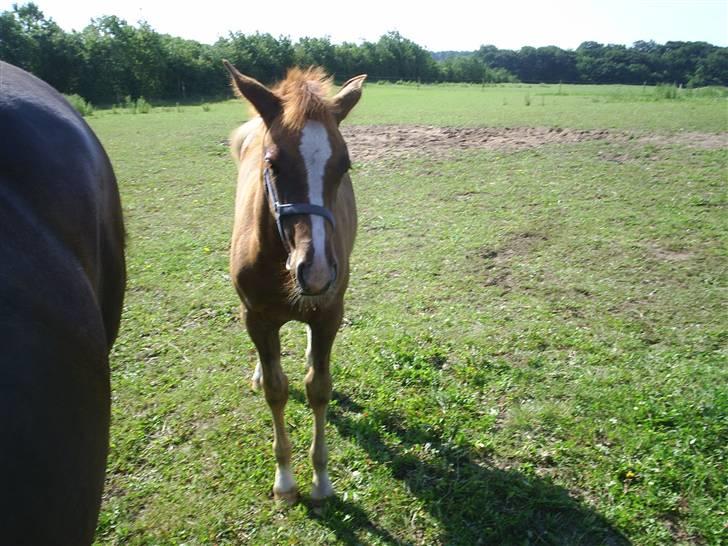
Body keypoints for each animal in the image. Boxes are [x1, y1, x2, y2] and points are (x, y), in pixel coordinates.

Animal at [223, 60, 370, 502]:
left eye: (344, 165)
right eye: (272, 164)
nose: (317, 271)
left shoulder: (328, 313)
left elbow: (317, 387)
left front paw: (321, 481)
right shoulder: (255, 317)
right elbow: (277, 389)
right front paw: (285, 480)